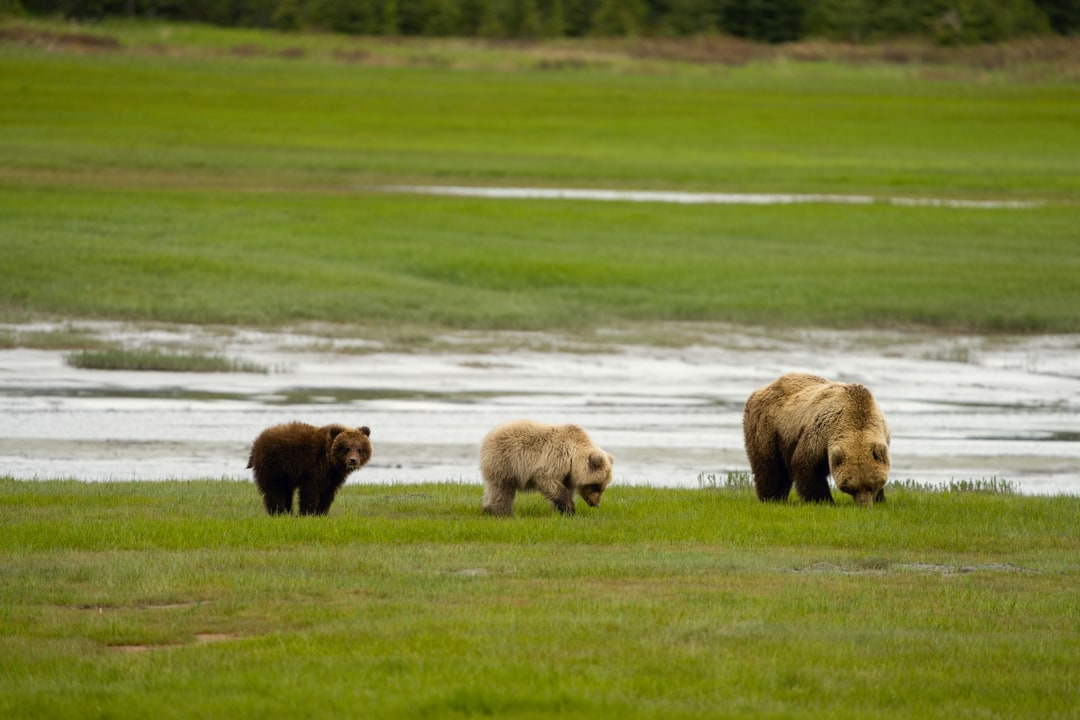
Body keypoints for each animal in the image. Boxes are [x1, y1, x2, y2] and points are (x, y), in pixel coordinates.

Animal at [479, 420, 614, 516]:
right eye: (596, 486)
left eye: (603, 487)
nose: (596, 504)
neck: (572, 459)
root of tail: (489, 435)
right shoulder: (555, 459)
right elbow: (548, 481)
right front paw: (569, 509)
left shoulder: (567, 475)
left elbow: (567, 489)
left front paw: (561, 511)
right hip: (505, 462)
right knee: (502, 489)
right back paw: (503, 513)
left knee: (493, 488)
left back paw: (486, 508)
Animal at [742, 373, 890, 507]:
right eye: (852, 488)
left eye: (871, 486)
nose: (864, 505)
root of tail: (759, 390)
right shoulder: (820, 434)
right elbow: (807, 466)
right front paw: (824, 501)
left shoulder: (883, 432)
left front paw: (881, 499)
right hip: (768, 428)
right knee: (769, 466)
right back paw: (772, 498)